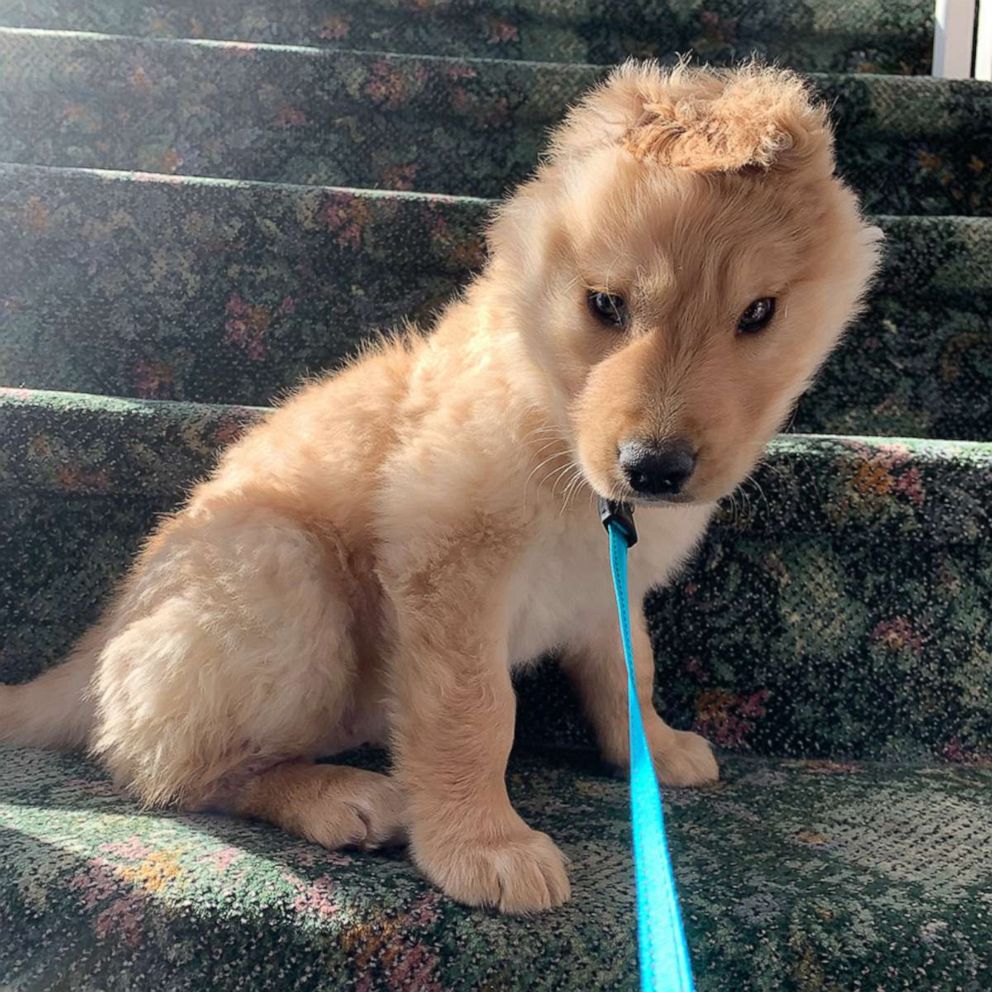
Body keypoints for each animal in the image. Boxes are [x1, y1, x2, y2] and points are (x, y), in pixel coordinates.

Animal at [3, 64, 880, 916]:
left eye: (759, 313)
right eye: (604, 304)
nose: (653, 467)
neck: (552, 416)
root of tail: (91, 656)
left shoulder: (608, 585)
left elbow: (630, 670)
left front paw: (654, 751)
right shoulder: (450, 572)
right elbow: (476, 715)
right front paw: (483, 847)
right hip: (280, 574)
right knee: (167, 772)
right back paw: (338, 797)